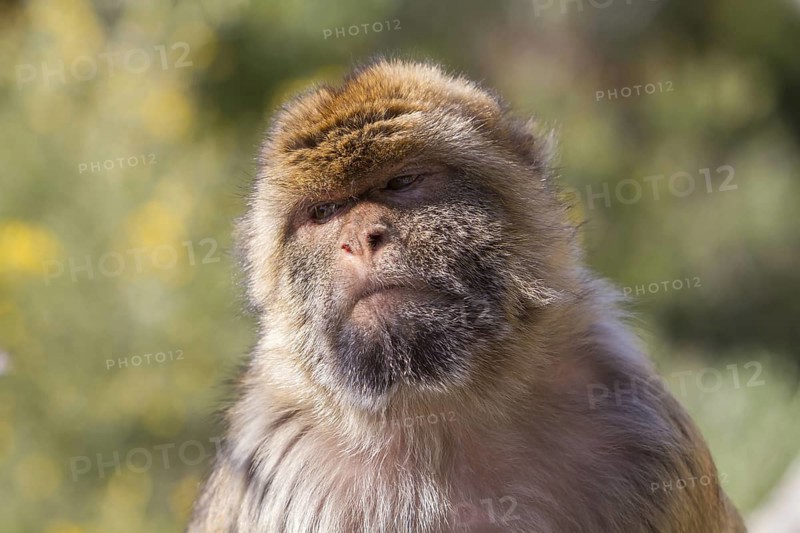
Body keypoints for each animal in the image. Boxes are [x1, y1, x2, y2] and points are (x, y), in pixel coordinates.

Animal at [187, 59, 745, 533]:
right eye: (324, 212)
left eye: (402, 182)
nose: (360, 239)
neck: (440, 406)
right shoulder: (281, 475)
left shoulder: (648, 438)